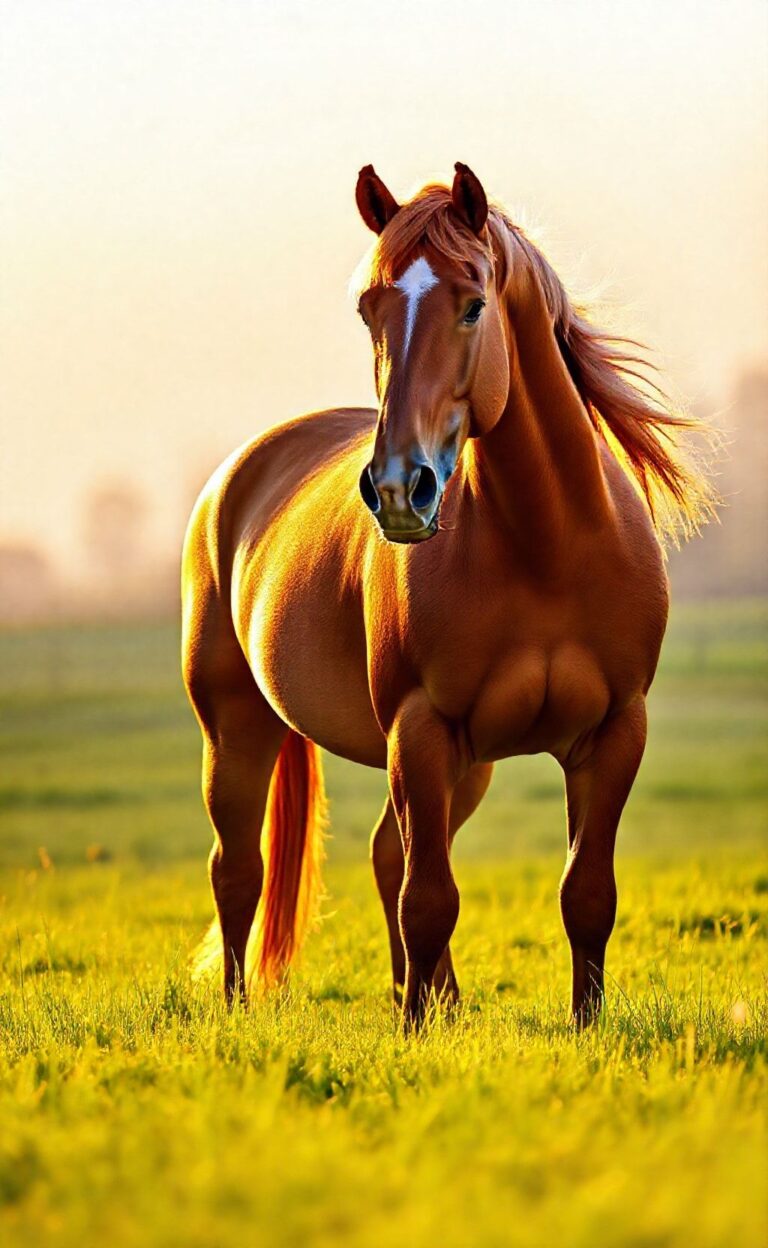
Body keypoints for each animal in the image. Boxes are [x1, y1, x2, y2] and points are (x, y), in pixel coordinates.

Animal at [182, 162, 712, 1029]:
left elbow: (586, 895)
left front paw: (584, 1026)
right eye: (369, 308)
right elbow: (427, 899)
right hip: (237, 728)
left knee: (382, 853)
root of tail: (237, 475)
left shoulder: (611, 733)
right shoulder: (421, 728)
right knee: (239, 870)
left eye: (473, 304)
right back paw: (242, 1010)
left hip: (467, 766)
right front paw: (414, 1033)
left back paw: (437, 1000)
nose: (400, 488)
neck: (545, 545)